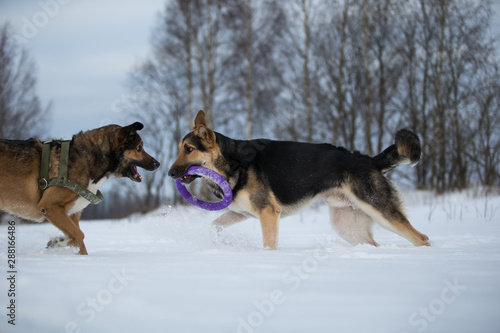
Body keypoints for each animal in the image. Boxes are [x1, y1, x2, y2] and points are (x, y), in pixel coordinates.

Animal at [0, 122, 159, 254]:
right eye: (139, 148)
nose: (157, 163)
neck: (89, 159)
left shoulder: (72, 215)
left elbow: (79, 240)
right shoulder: (50, 206)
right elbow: (79, 235)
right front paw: (58, 242)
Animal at [168, 111, 430, 249]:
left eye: (189, 149)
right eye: (179, 149)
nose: (169, 173)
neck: (232, 164)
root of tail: (369, 160)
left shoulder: (268, 213)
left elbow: (269, 244)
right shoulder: (241, 213)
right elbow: (215, 225)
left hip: (382, 212)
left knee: (421, 238)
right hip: (348, 226)